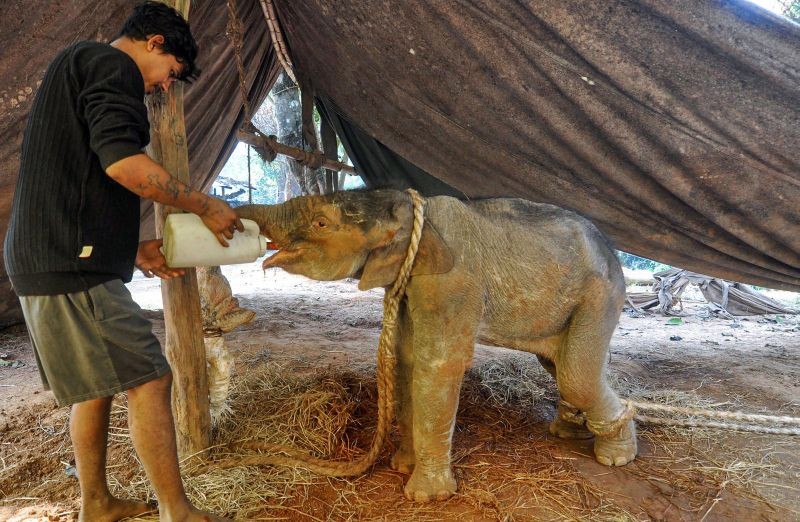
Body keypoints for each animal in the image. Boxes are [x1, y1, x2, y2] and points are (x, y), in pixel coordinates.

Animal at [235, 189, 635, 501]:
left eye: (321, 223)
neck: (417, 213)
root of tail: (613, 252)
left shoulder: (451, 283)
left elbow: (436, 365)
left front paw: (425, 496)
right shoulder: (411, 284)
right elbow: (406, 361)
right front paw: (401, 466)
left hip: (599, 295)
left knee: (576, 374)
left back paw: (616, 457)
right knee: (562, 365)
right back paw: (572, 433)